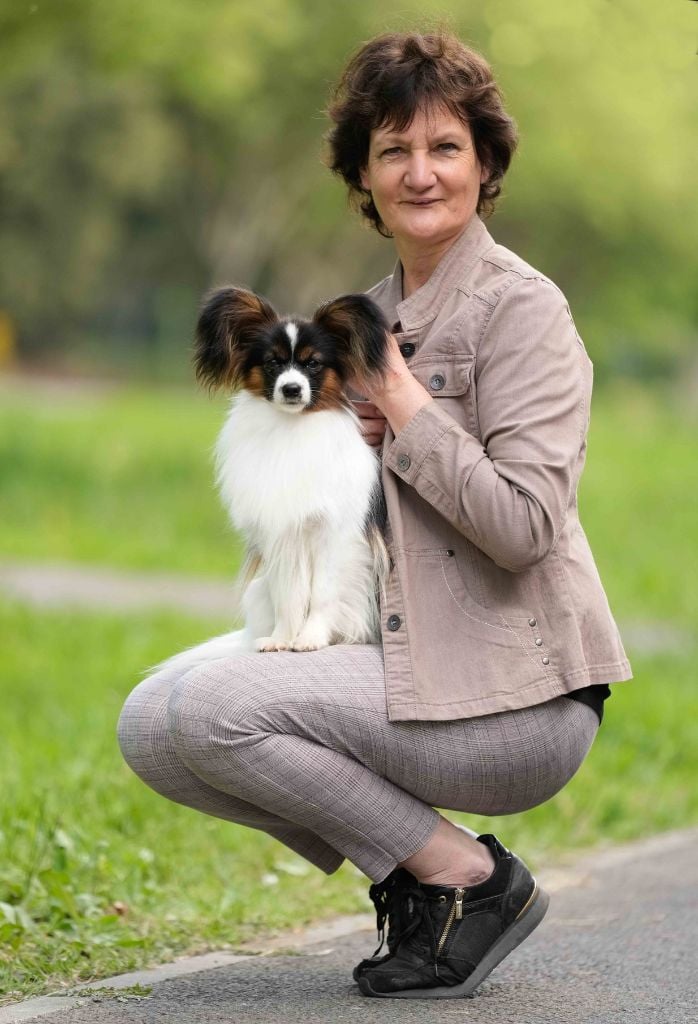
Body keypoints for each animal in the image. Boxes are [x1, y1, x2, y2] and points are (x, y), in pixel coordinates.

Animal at [154, 284, 388, 675]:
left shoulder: (332, 534)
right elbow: (288, 595)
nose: (291, 389)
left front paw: (310, 638)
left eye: (313, 364)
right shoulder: (279, 536)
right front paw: (282, 639)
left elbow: (321, 594)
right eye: (273, 363)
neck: (290, 429)